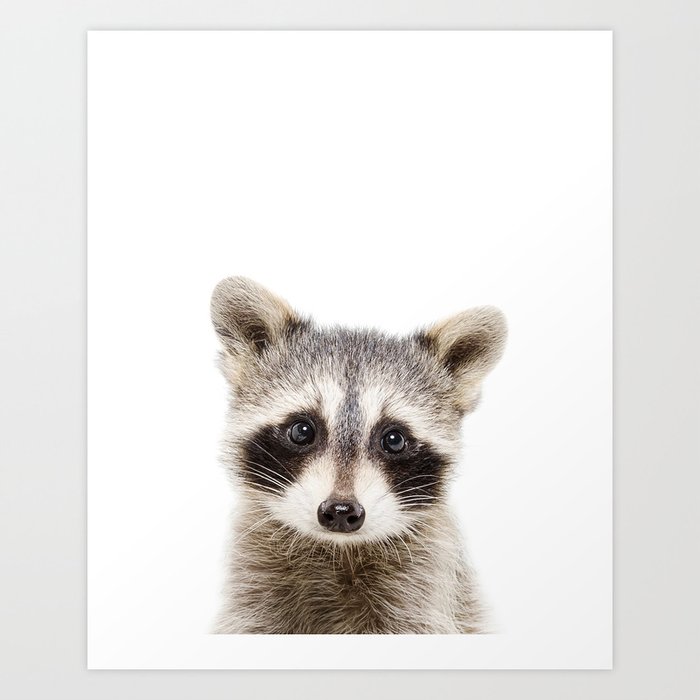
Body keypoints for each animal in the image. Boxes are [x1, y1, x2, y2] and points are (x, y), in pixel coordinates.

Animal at [210, 277, 506, 634]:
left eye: (394, 440)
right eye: (301, 431)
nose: (340, 511)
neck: (339, 550)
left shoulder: (421, 583)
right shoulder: (254, 581)